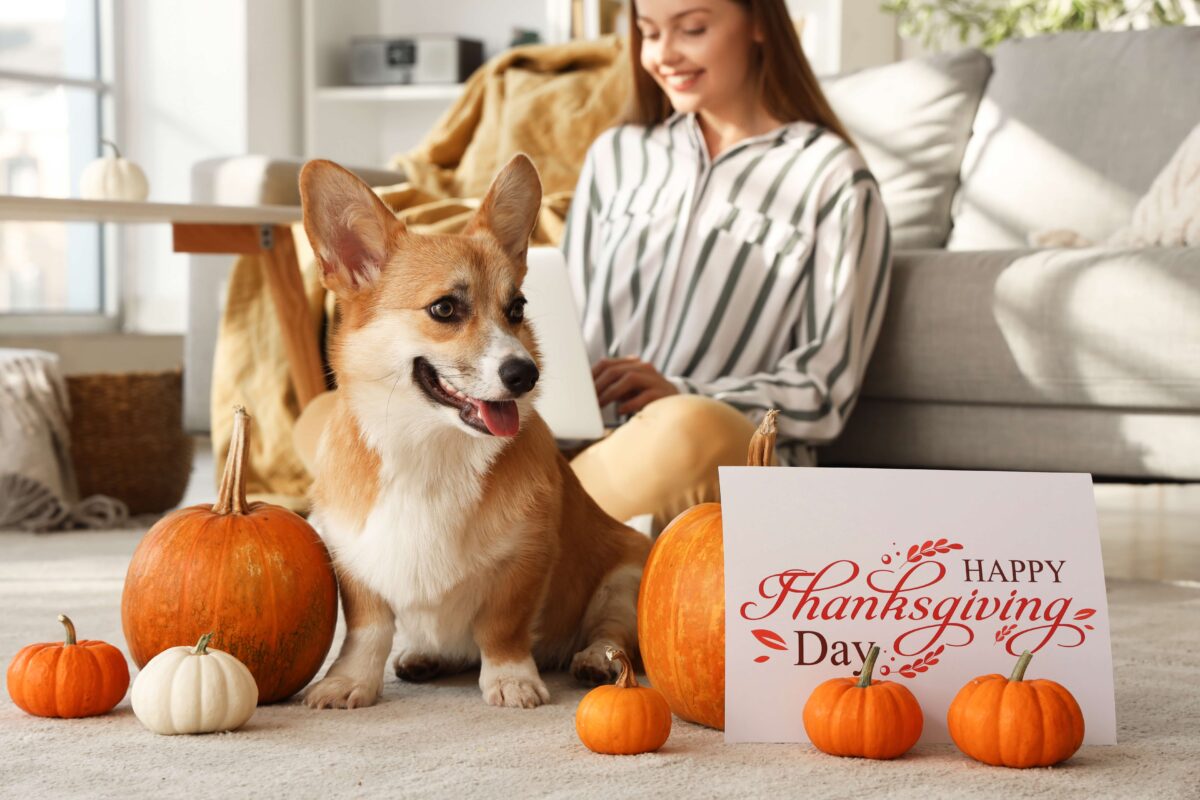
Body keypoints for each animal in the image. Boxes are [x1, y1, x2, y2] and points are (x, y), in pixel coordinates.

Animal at [296, 154, 652, 705]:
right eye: (445, 308)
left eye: (517, 309)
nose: (525, 374)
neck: (430, 449)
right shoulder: (354, 561)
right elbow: (367, 630)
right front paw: (348, 682)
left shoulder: (524, 561)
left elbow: (501, 629)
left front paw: (511, 680)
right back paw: (424, 656)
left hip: (626, 578)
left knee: (612, 633)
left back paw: (595, 660)